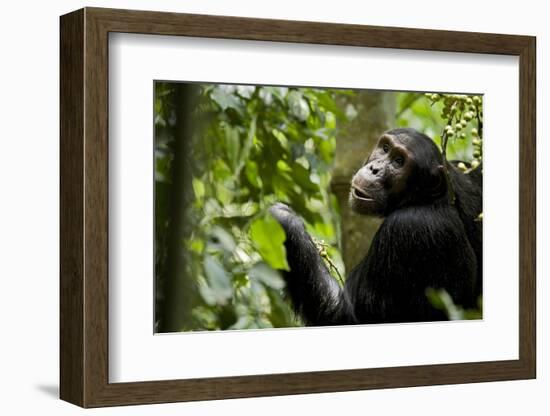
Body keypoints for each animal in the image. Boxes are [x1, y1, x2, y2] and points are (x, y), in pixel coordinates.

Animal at [270, 127, 484, 324]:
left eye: (399, 161)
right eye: (385, 148)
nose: (375, 169)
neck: (427, 199)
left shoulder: (408, 226)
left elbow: (348, 316)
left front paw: (285, 219)